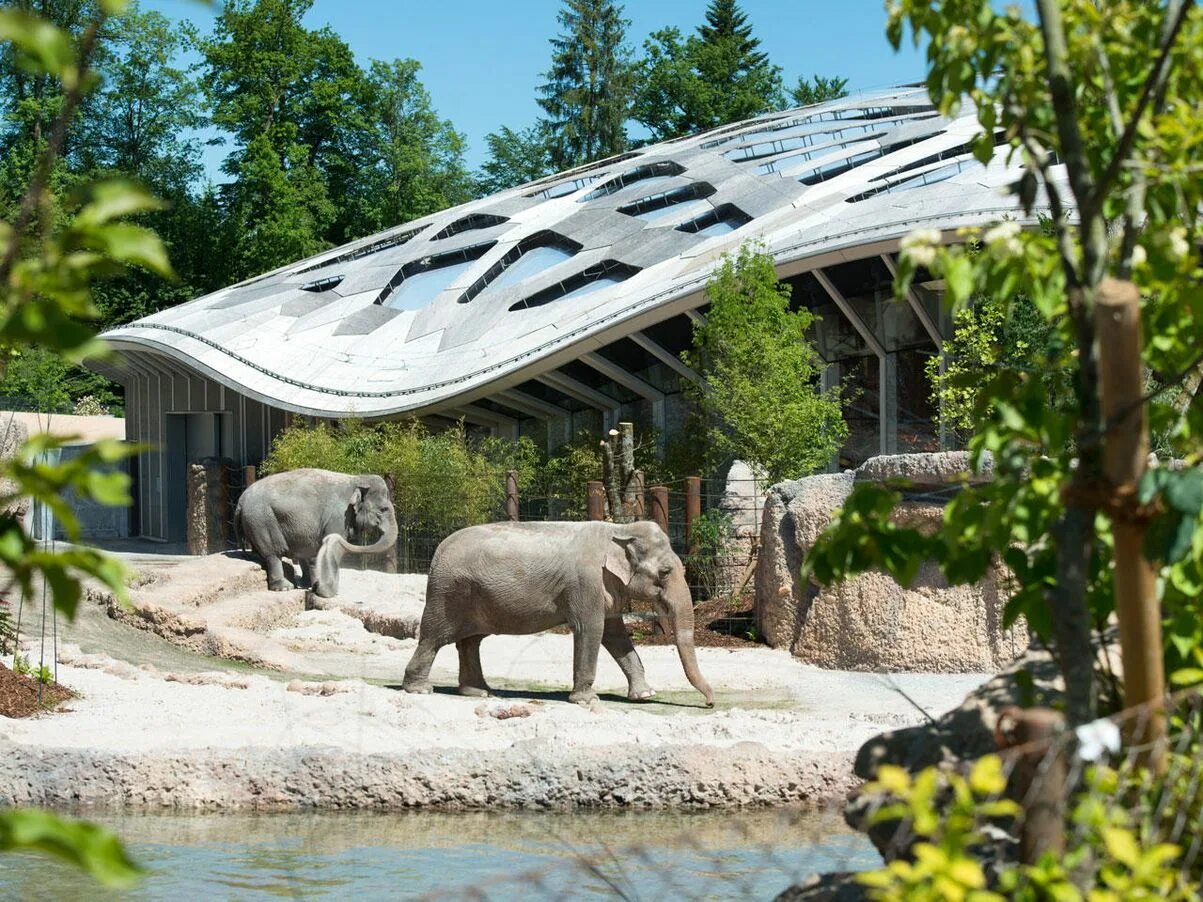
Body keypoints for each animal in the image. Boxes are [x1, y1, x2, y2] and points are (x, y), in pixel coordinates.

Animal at [234, 466, 399, 601]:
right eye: (383, 509)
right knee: (273, 554)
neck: (356, 479)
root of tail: (240, 500)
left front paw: (315, 587)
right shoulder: (339, 517)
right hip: (262, 520)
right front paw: (326, 592)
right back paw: (285, 587)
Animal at [401, 519, 712, 711]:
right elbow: (592, 630)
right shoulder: (586, 583)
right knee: (433, 638)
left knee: (470, 641)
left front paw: (645, 695)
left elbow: (616, 635)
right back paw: (420, 690)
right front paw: (587, 700)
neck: (619, 529)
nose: (710, 703)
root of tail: (438, 551)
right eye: (665, 572)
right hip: (448, 594)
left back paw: (478, 692)